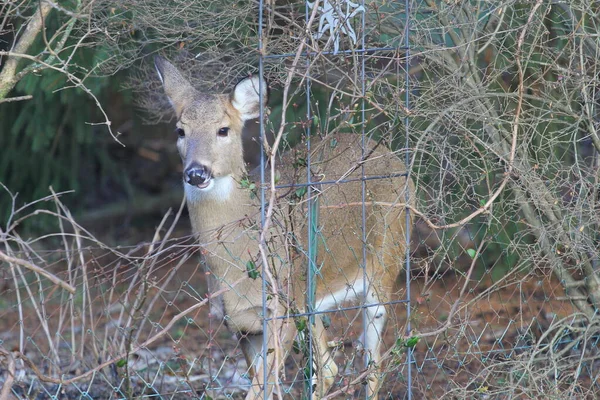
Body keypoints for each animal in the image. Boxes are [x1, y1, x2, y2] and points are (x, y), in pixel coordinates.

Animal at [155, 57, 414, 400]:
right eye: (180, 130)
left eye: (223, 129)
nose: (196, 172)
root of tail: (393, 157)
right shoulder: (240, 325)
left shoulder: (281, 311)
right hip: (311, 300)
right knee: (329, 367)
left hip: (384, 264)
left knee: (370, 361)